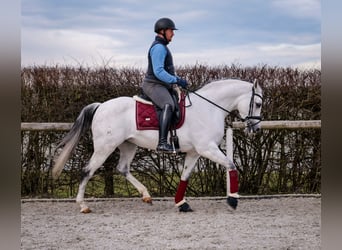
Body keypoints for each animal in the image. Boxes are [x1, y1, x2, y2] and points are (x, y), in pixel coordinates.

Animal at [52, 78, 264, 213]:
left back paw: (146, 195)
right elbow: (231, 164)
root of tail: (100, 106)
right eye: (259, 104)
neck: (209, 108)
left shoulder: (195, 152)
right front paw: (233, 199)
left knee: (122, 168)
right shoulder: (207, 148)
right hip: (105, 148)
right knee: (87, 170)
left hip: (128, 146)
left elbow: (185, 176)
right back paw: (83, 206)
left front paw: (181, 203)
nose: (255, 129)